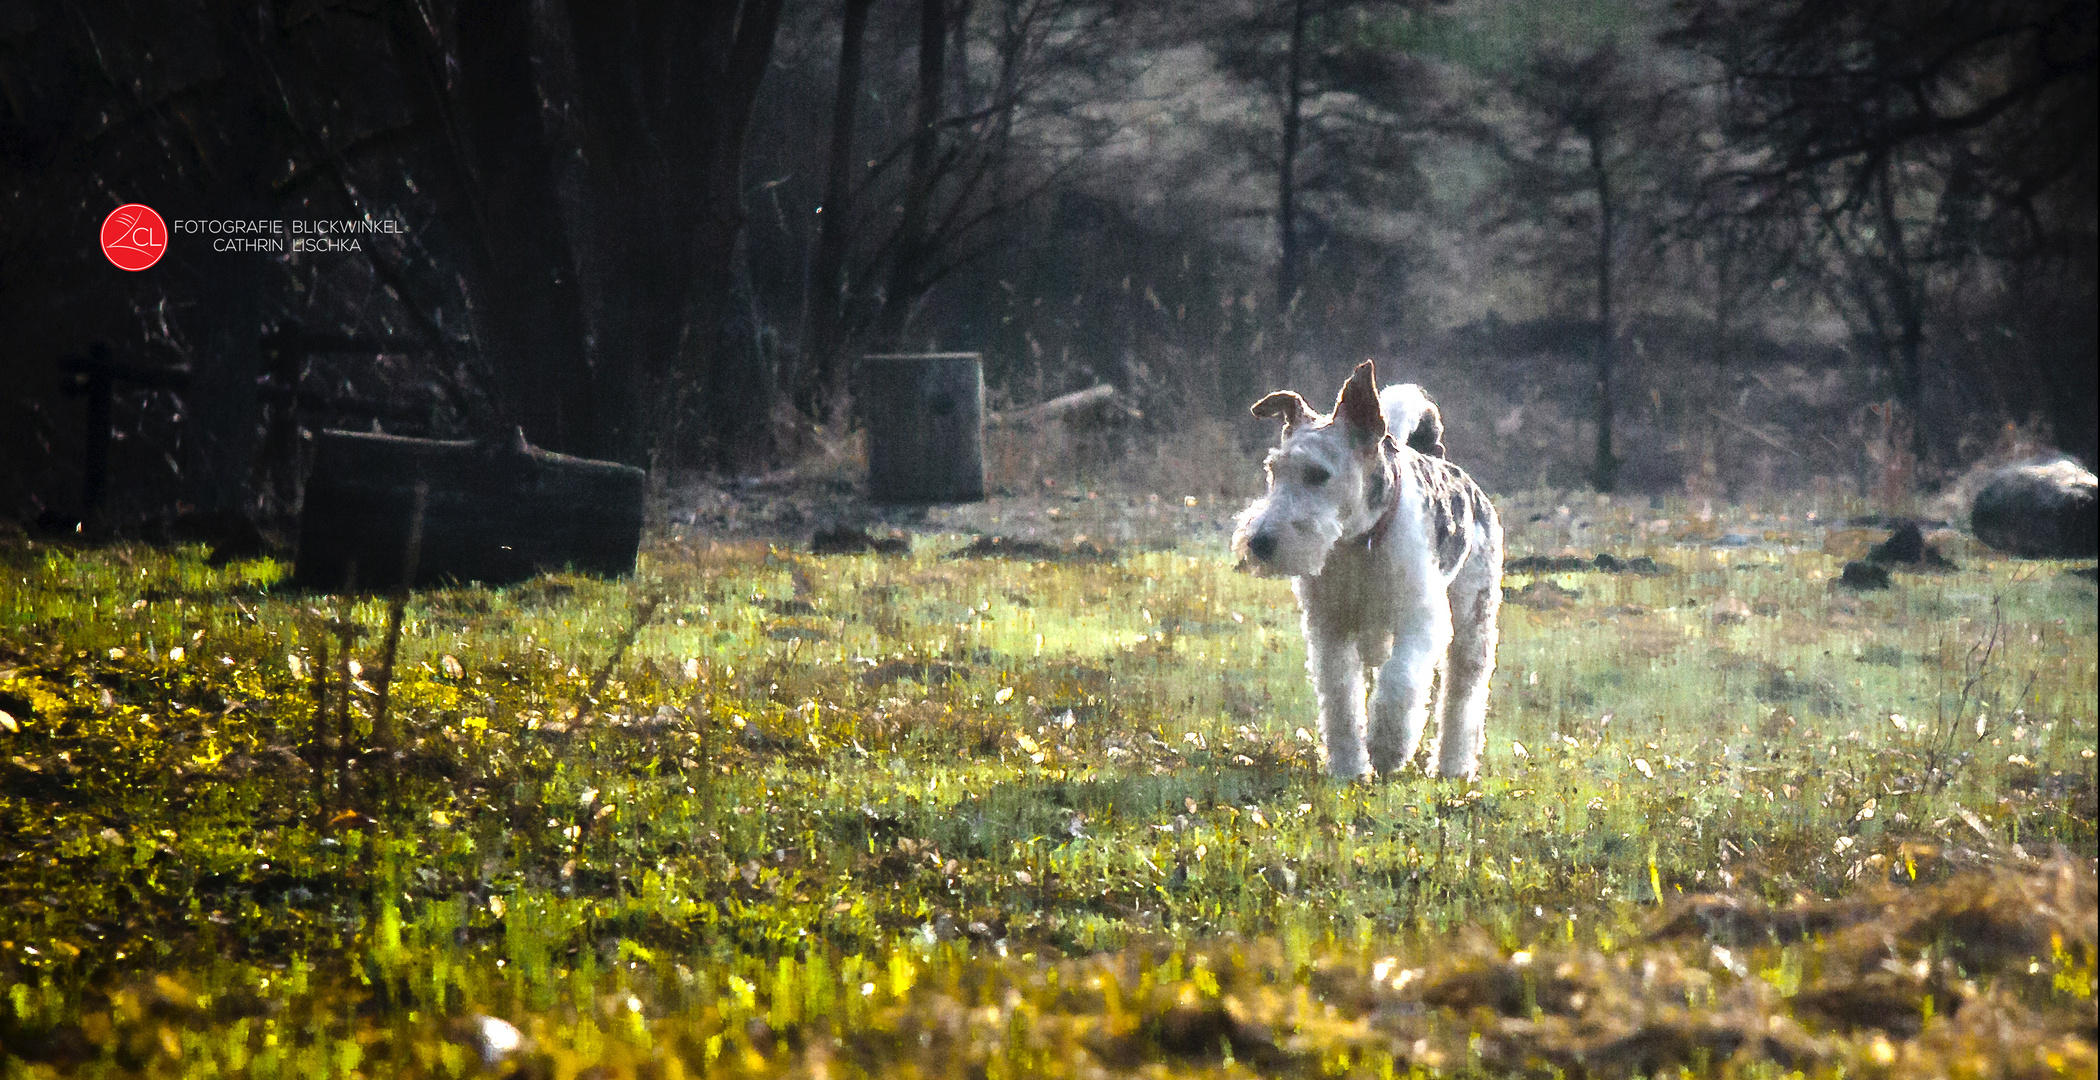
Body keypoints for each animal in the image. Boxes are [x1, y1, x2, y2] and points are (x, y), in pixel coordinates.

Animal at [1226, 359, 1511, 773]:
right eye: (1273, 470)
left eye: (1318, 473)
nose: (1260, 543)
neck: (1359, 542)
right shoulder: (1330, 627)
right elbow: (1341, 703)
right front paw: (1349, 769)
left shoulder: (1421, 619)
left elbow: (1401, 682)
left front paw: (1388, 747)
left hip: (1473, 618)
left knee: (1463, 697)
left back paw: (1453, 766)